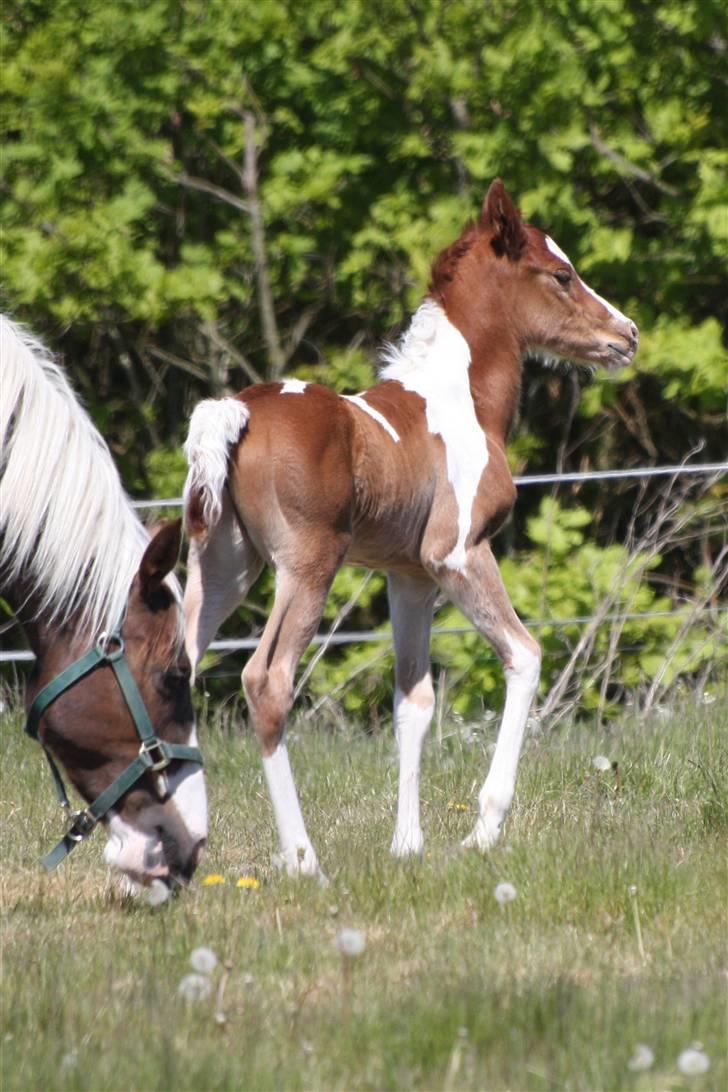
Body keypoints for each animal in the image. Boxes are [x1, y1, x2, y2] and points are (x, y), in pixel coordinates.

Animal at [182, 179, 637, 877]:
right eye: (562, 275)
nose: (627, 334)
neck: (461, 399)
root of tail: (235, 413)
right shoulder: (458, 554)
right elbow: (525, 655)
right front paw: (482, 832)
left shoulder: (410, 577)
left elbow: (413, 702)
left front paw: (407, 845)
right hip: (306, 567)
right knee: (266, 681)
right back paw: (304, 859)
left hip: (224, 567)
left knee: (167, 668)